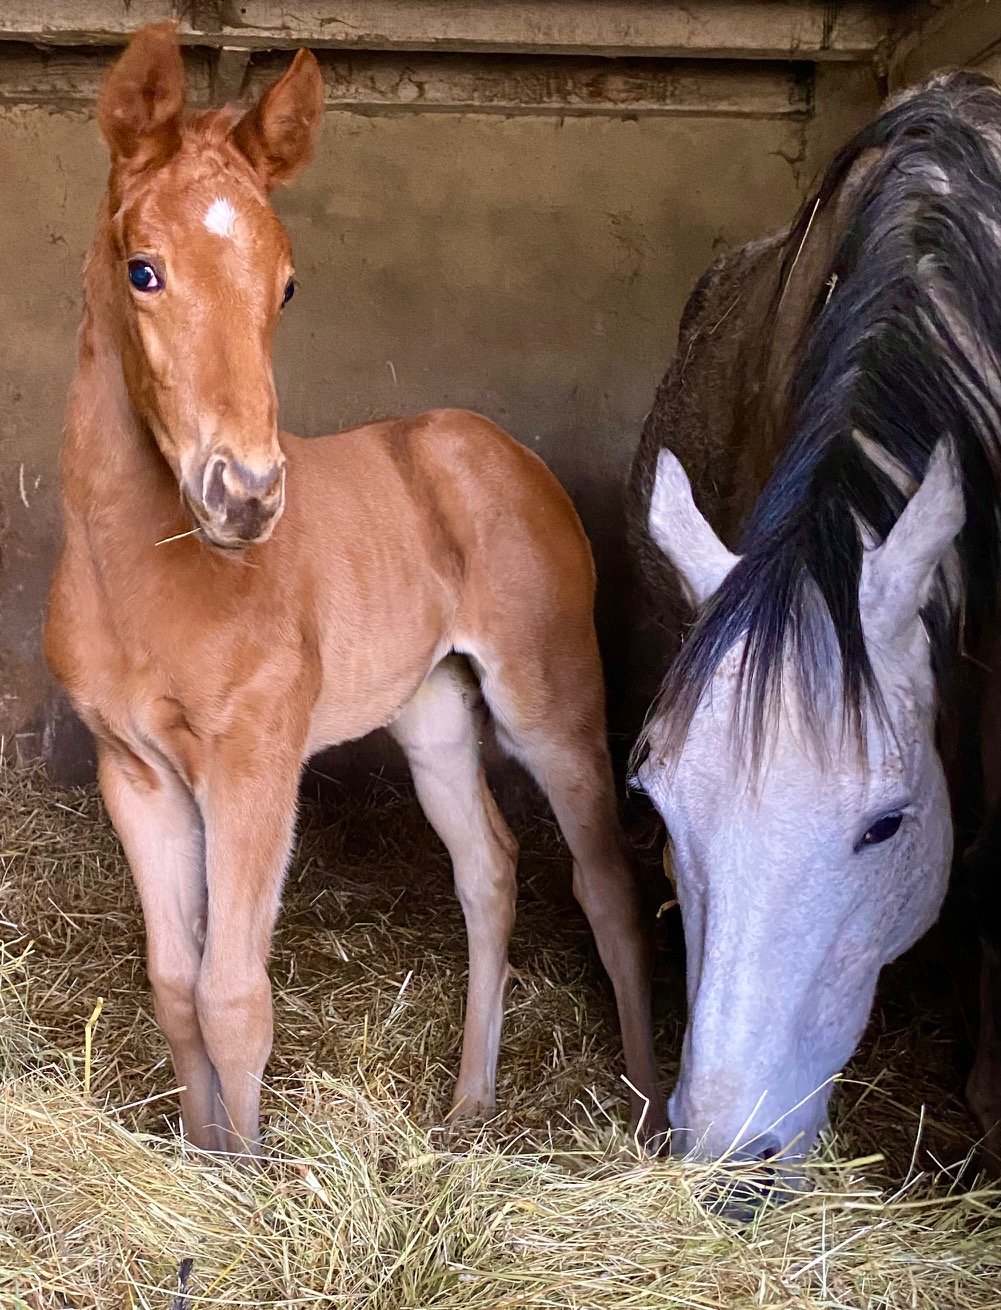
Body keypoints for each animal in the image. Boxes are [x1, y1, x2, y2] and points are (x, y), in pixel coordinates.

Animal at [43, 22, 665, 1157]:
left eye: (286, 285)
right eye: (143, 270)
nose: (245, 494)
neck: (143, 573)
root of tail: (501, 448)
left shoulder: (255, 763)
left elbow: (233, 996)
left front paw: (245, 1180)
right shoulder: (136, 773)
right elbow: (175, 986)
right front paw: (204, 1159)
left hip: (548, 700)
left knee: (602, 883)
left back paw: (644, 1107)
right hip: (432, 713)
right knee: (489, 870)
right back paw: (468, 1103)